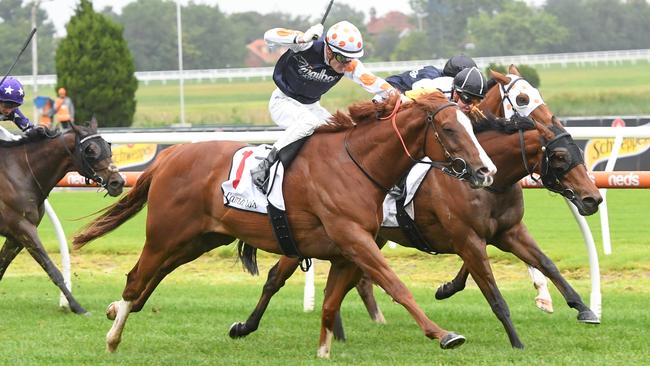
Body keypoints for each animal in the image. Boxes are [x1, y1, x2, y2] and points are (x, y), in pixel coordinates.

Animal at [0, 121, 124, 314]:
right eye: (90, 150)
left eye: (108, 146)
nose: (117, 183)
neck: (21, 172)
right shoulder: (23, 228)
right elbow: (52, 269)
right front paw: (77, 306)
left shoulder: (16, 236)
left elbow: (1, 266)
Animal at [71, 92, 494, 358]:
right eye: (451, 130)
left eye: (473, 127)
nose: (485, 171)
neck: (356, 164)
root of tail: (169, 156)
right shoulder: (355, 240)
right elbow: (396, 286)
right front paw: (443, 334)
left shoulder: (346, 251)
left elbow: (330, 303)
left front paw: (323, 351)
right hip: (164, 235)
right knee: (136, 278)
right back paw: (112, 337)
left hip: (198, 239)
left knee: (153, 277)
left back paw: (114, 311)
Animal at [229, 66, 604, 348]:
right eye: (560, 156)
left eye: (578, 151)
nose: (593, 199)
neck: (492, 180)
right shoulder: (467, 237)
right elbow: (493, 291)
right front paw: (516, 340)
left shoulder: (508, 231)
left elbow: (546, 264)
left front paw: (583, 308)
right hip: (313, 235)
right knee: (277, 277)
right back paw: (246, 326)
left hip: (364, 237)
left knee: (355, 280)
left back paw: (338, 329)